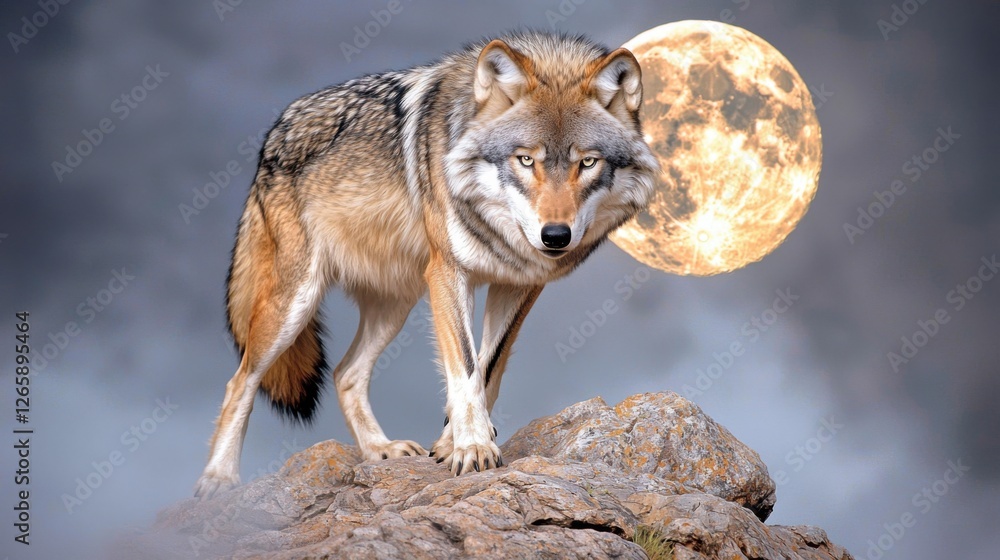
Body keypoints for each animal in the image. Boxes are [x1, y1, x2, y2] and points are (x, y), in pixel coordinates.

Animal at [195, 31, 658, 498]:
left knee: (344, 373)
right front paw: (472, 447)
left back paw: (379, 449)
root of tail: (274, 134)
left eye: (588, 162)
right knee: (241, 380)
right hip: (295, 304)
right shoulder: (449, 273)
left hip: (394, 306)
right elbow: (466, 367)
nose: (556, 236)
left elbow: (487, 369)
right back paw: (218, 478)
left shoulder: (518, 286)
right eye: (526, 160)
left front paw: (455, 441)